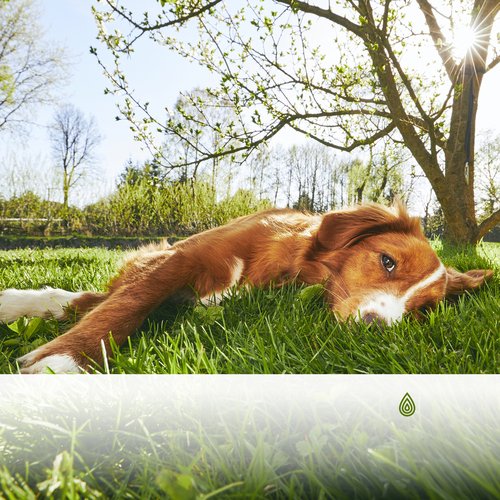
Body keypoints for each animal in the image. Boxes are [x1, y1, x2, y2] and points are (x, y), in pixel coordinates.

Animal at [0, 201, 492, 374]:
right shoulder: (181, 258)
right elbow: (126, 306)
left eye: (423, 311)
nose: (376, 327)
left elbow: (115, 306)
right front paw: (63, 359)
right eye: (387, 261)